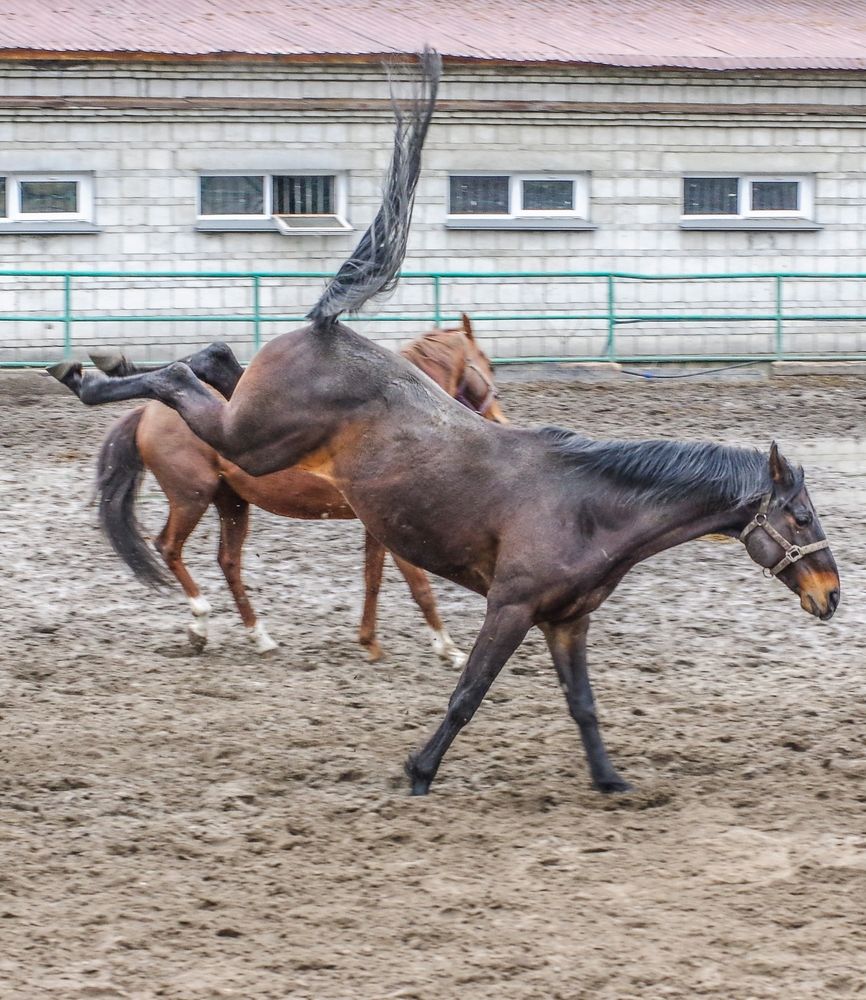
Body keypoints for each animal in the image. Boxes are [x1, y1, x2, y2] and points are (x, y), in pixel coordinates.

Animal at [89, 315, 504, 661]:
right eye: (488, 365)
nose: (499, 418)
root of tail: (147, 412)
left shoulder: (377, 528)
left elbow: (372, 579)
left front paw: (369, 641)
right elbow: (419, 587)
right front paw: (448, 648)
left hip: (232, 503)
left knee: (228, 561)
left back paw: (259, 637)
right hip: (191, 498)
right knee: (169, 547)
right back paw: (201, 622)